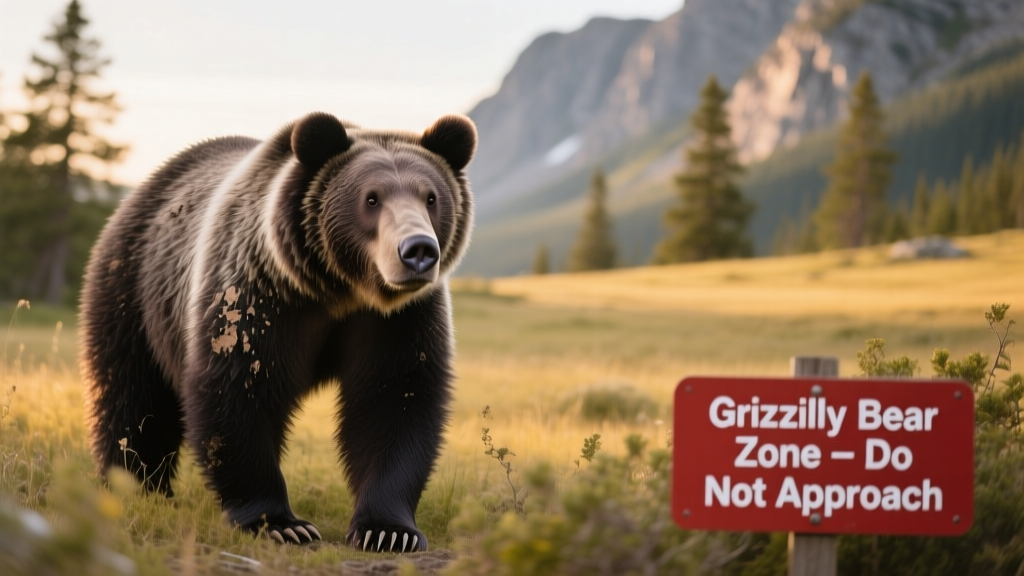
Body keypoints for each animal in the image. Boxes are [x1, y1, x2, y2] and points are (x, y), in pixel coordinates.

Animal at [79, 111, 476, 552]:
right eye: (371, 198)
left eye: (431, 197)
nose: (418, 250)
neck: (340, 291)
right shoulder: (258, 293)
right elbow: (237, 391)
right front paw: (281, 524)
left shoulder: (399, 319)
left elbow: (395, 399)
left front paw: (388, 530)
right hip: (134, 289)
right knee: (133, 398)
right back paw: (135, 486)